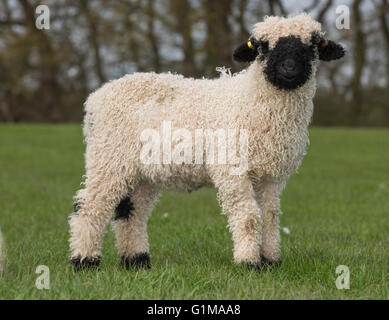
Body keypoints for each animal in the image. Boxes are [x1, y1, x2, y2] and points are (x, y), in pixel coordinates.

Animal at [69, 13, 342, 272]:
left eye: (312, 45)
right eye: (262, 47)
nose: (289, 68)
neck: (252, 100)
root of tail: (94, 98)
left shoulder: (270, 176)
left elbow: (270, 216)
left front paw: (270, 261)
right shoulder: (232, 170)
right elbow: (249, 216)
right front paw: (248, 263)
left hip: (141, 172)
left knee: (131, 212)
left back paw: (136, 261)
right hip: (109, 158)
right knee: (90, 206)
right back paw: (84, 261)